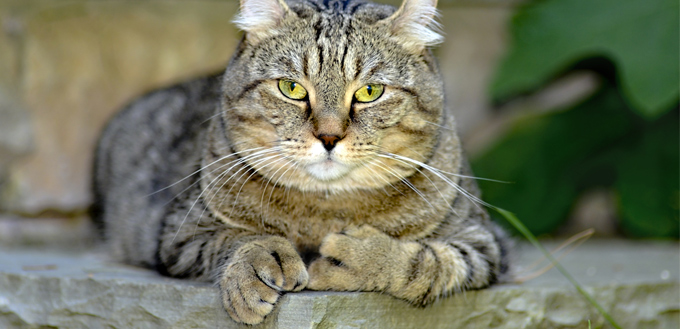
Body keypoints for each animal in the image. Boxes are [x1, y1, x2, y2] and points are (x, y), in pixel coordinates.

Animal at [93, 0, 512, 322]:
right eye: (291, 88)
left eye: (370, 92)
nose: (329, 137)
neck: (324, 208)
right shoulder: (178, 233)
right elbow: (235, 237)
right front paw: (258, 262)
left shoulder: (484, 243)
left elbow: (427, 264)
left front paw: (360, 258)